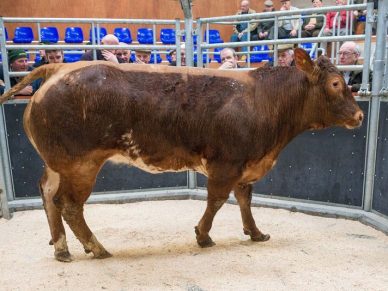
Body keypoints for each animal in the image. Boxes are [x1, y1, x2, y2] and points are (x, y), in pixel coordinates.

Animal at [0, 49, 364, 264]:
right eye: (335, 83)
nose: (360, 115)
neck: (264, 99)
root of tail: (60, 68)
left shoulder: (244, 164)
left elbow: (245, 198)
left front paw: (256, 233)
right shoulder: (226, 164)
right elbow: (217, 200)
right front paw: (203, 235)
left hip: (58, 163)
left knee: (48, 194)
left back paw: (61, 248)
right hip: (81, 165)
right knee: (69, 204)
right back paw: (97, 248)